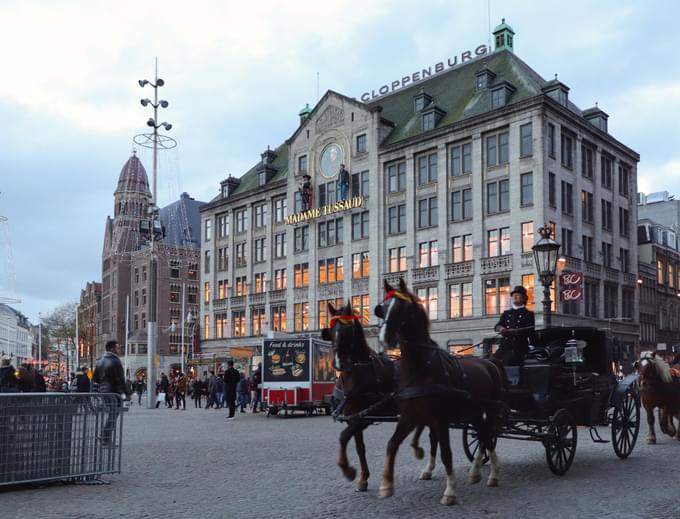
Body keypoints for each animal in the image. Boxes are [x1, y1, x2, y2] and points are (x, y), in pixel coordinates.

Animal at [374, 280, 508, 508]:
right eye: (382, 308)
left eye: (403, 308)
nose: (385, 338)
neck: (421, 369)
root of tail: (490, 362)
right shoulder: (409, 417)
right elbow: (392, 444)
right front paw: (386, 486)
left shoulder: (440, 419)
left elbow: (446, 453)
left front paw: (450, 492)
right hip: (474, 411)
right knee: (483, 434)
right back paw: (476, 473)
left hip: (489, 409)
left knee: (488, 435)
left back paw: (493, 474)